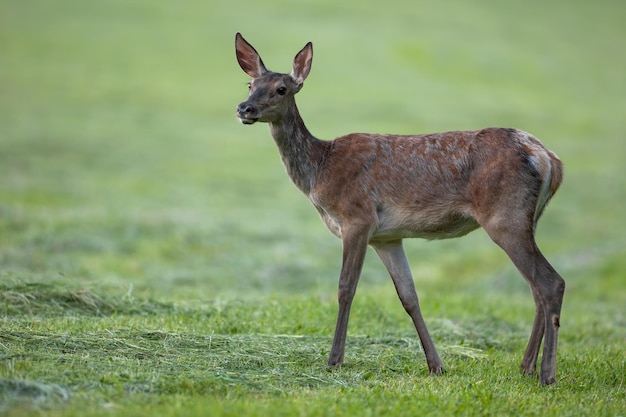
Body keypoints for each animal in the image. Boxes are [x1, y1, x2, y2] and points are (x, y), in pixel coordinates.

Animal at [234, 32, 564, 384]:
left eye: (282, 88)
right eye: (250, 83)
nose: (244, 108)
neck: (320, 171)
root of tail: (548, 158)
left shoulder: (357, 217)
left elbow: (345, 288)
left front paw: (334, 360)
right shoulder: (387, 237)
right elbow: (409, 296)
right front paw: (436, 364)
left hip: (504, 216)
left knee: (550, 282)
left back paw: (546, 373)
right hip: (528, 219)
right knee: (535, 288)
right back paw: (526, 366)